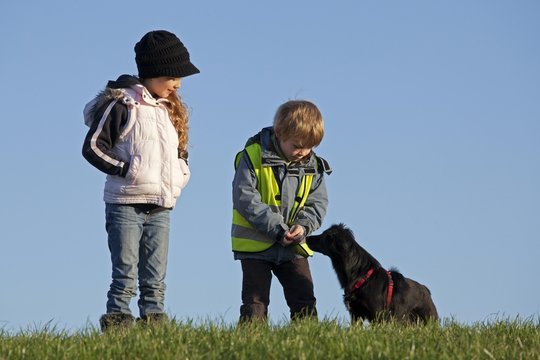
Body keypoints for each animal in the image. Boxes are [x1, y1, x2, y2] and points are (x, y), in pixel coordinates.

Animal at [308, 225, 438, 324]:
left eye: (324, 236)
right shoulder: (356, 313)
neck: (360, 274)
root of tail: (426, 290)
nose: (308, 237)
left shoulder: (378, 315)